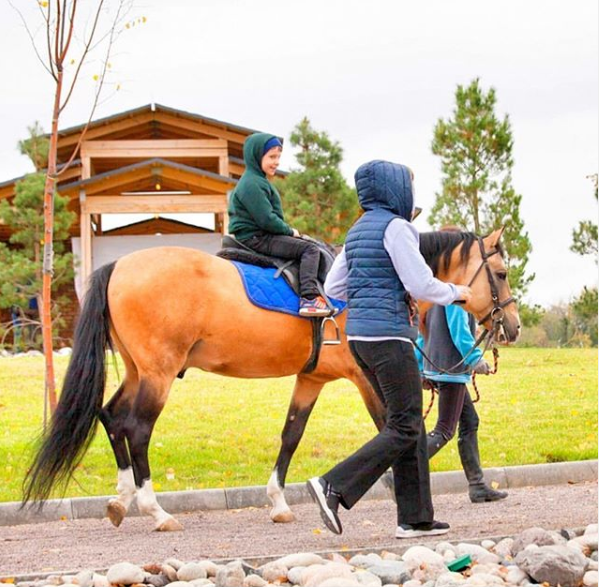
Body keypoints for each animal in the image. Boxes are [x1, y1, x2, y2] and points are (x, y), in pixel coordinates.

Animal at [23, 229, 520, 532]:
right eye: (500, 273)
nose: (512, 326)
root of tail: (119, 266)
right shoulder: (367, 378)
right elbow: (393, 432)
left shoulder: (311, 380)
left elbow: (291, 436)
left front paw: (280, 502)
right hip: (159, 374)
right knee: (137, 428)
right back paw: (154, 508)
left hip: (137, 370)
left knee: (110, 416)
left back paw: (122, 498)